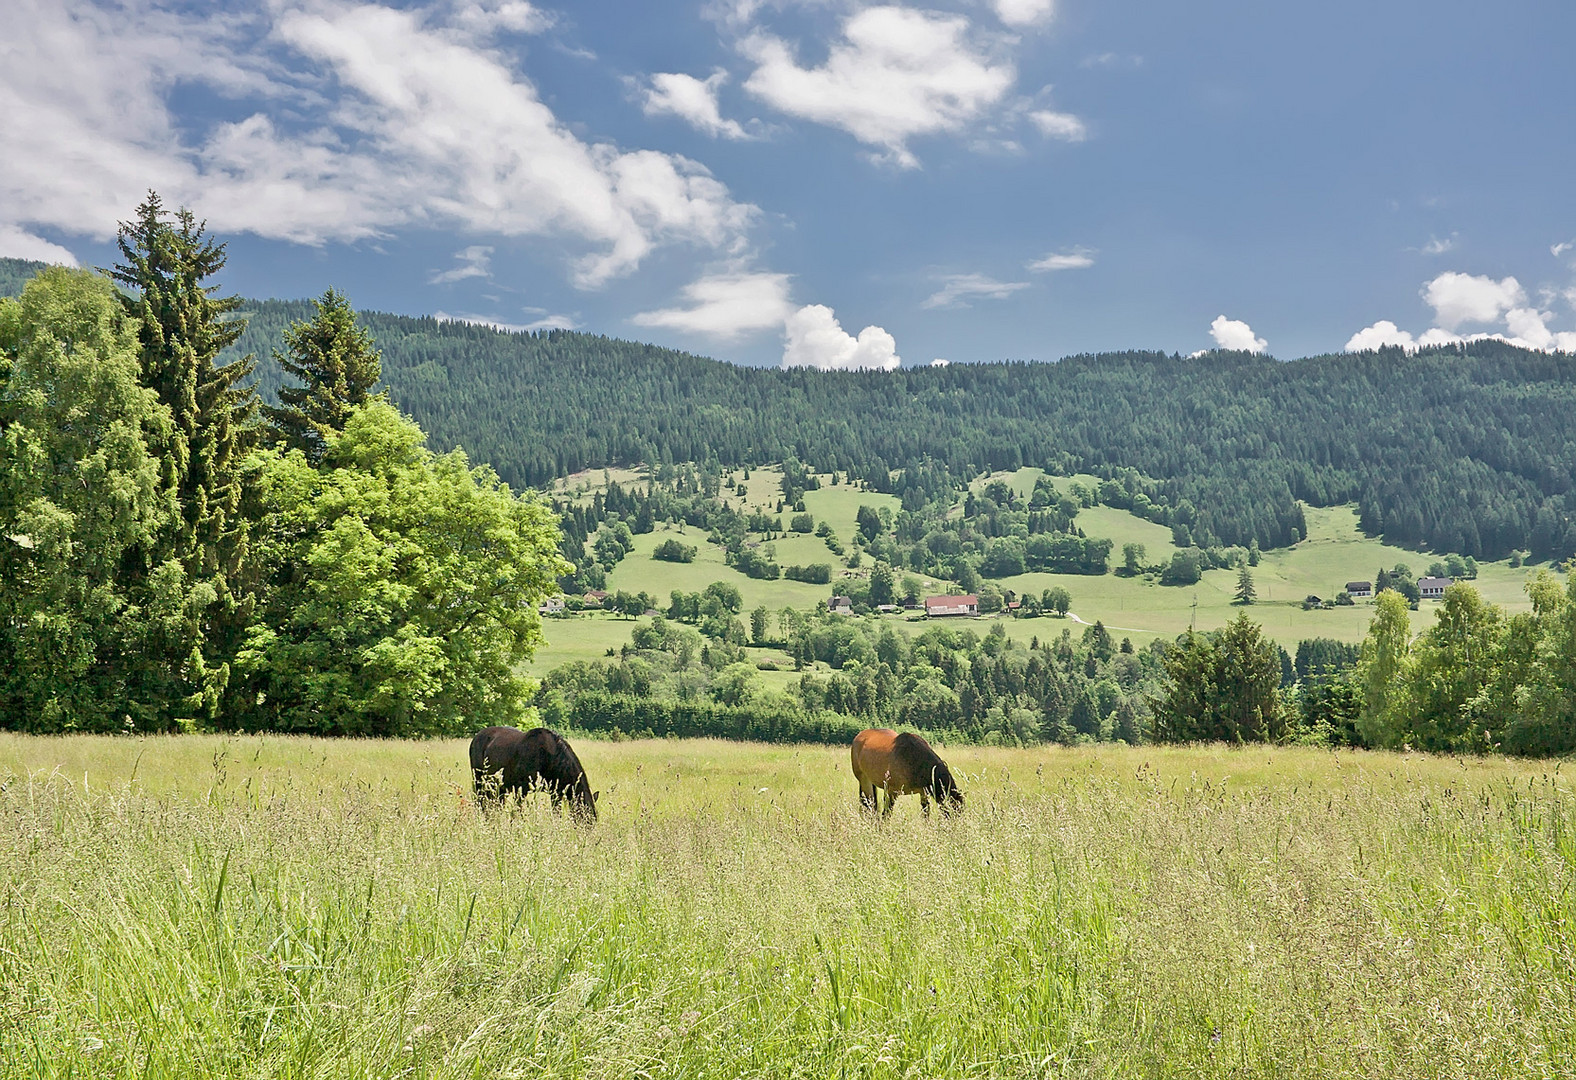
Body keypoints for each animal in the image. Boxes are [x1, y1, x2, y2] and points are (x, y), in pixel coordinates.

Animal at [469, 725, 598, 819]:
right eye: (586, 816)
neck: (548, 757)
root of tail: (476, 737)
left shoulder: (555, 793)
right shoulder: (521, 789)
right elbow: (517, 813)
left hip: (499, 787)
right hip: (479, 781)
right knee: (480, 803)